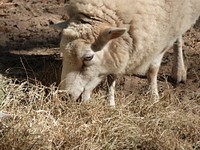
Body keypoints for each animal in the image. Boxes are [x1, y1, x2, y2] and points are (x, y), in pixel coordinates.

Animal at [56, 0, 200, 105]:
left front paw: (154, 97)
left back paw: (179, 70)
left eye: (88, 57)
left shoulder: (161, 35)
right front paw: (110, 103)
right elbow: (112, 76)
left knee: (179, 36)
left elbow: (153, 70)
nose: (64, 95)